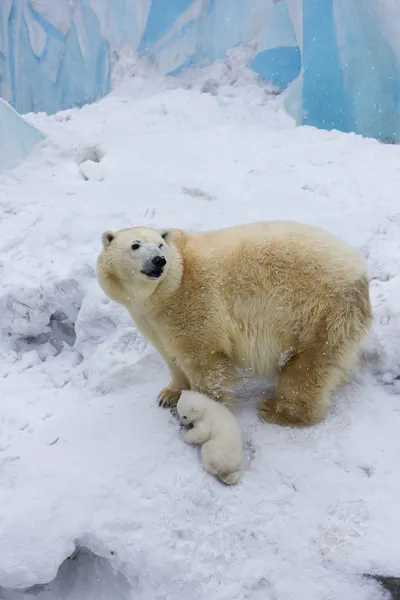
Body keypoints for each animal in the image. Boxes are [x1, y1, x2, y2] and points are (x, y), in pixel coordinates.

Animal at [97, 221, 372, 426]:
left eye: (160, 244)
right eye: (135, 245)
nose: (158, 260)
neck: (167, 289)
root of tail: (360, 276)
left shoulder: (193, 302)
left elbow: (203, 359)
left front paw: (203, 411)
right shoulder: (149, 319)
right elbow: (169, 354)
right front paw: (168, 394)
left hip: (318, 313)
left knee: (309, 365)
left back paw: (276, 410)